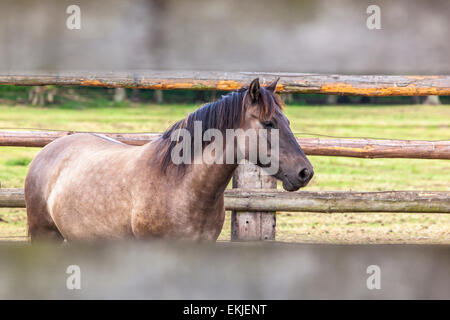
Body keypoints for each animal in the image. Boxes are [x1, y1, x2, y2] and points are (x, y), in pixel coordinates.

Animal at [24, 78, 312, 242]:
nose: (305, 172)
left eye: (287, 121)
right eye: (268, 123)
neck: (181, 186)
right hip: (45, 236)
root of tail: (48, 151)